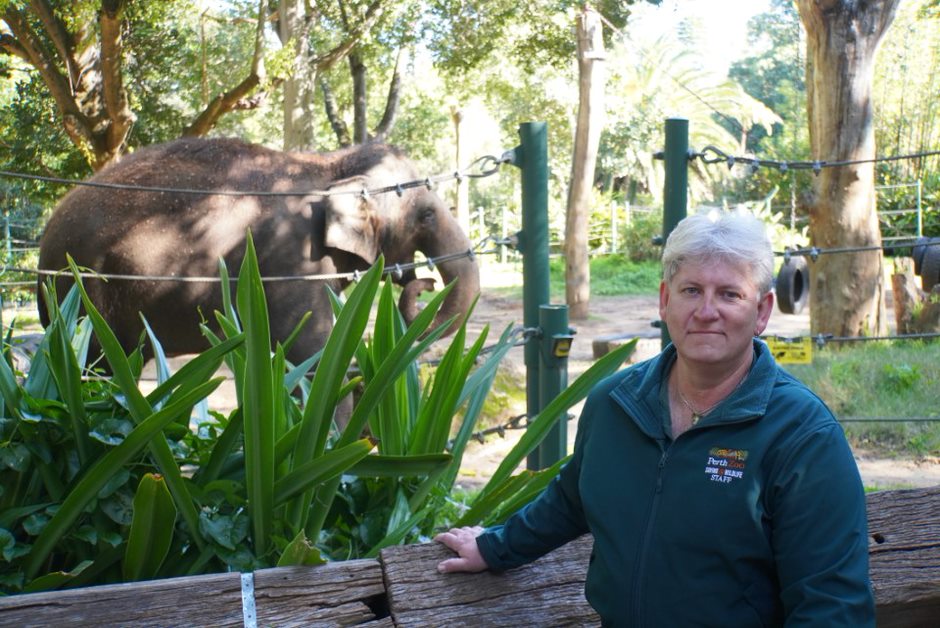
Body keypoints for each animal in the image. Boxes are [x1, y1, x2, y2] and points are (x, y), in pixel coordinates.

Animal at [37, 137, 480, 366]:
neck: (331, 162)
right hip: (82, 296)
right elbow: (310, 353)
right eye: (426, 215)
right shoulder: (293, 258)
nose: (422, 282)